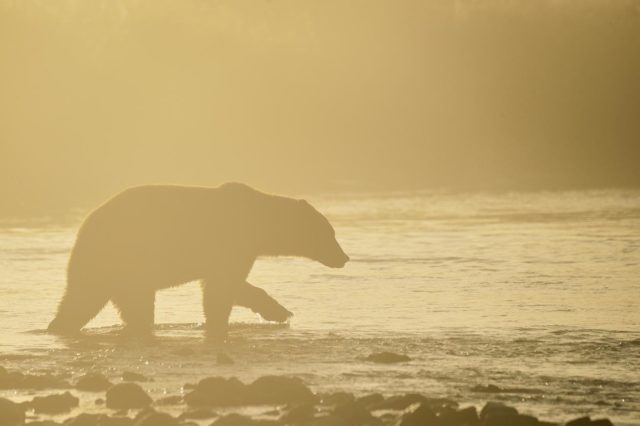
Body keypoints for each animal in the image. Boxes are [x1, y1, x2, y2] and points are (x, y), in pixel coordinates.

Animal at [48, 183, 350, 340]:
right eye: (330, 234)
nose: (344, 257)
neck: (258, 223)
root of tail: (84, 228)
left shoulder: (235, 251)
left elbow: (228, 285)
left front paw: (276, 310)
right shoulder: (231, 244)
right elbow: (222, 288)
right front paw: (277, 312)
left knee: (100, 302)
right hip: (118, 259)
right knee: (91, 300)